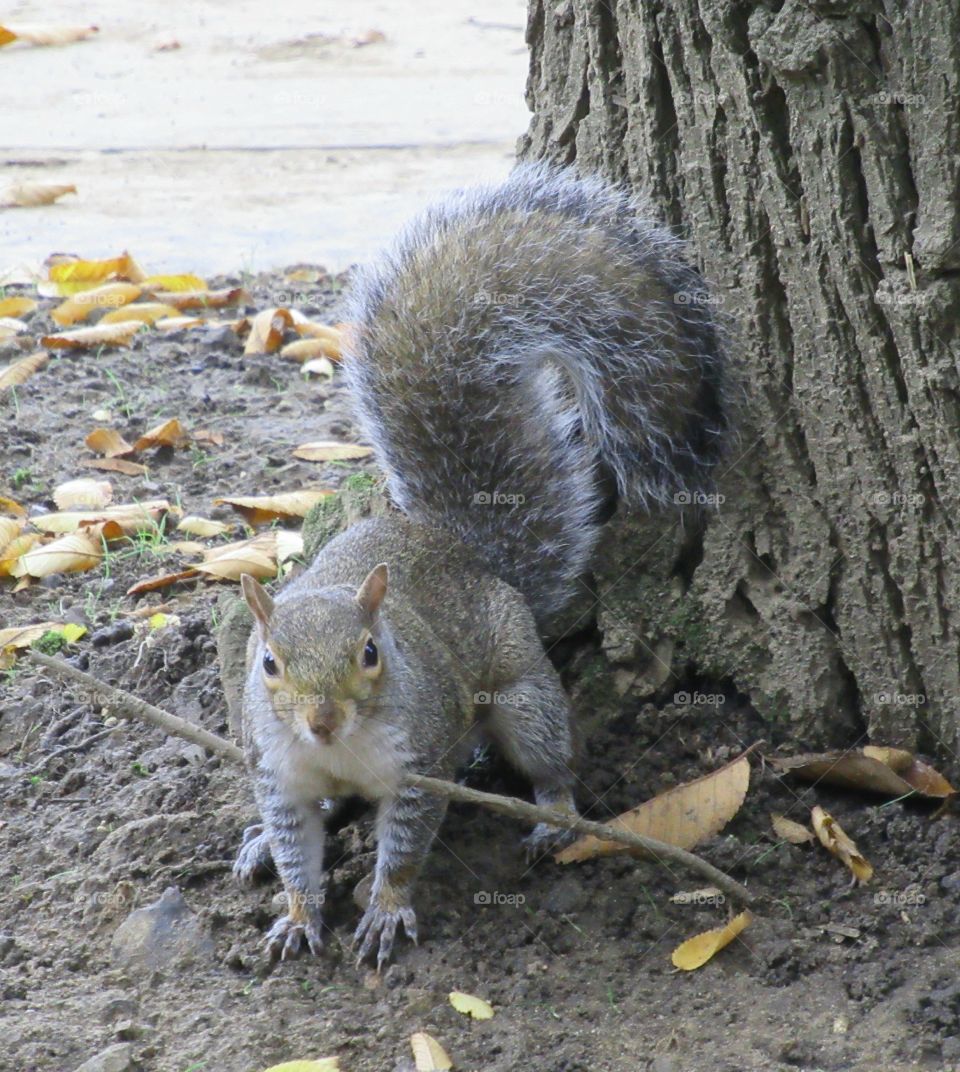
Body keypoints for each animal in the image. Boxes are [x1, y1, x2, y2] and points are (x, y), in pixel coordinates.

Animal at [233, 162, 728, 969]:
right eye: (268, 664)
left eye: (371, 653)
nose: (323, 718)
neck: (342, 749)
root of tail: (461, 550)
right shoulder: (279, 774)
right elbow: (295, 847)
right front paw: (299, 914)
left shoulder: (421, 760)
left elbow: (405, 844)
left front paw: (385, 909)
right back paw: (254, 847)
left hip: (520, 693)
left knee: (550, 756)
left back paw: (554, 815)